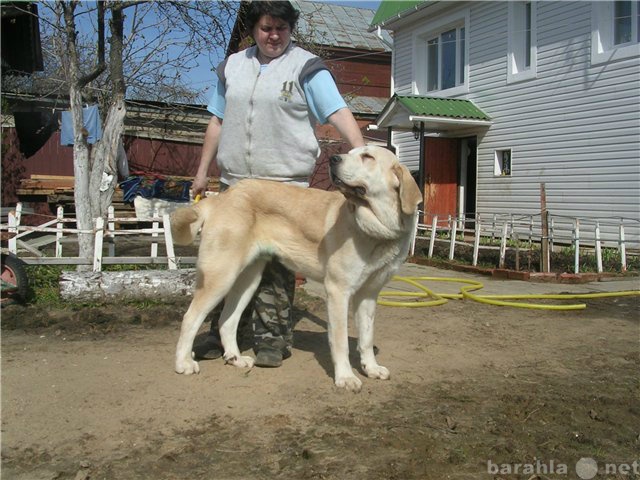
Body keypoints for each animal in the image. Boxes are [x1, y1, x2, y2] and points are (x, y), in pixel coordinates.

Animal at [172, 144, 422, 392]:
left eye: (367, 156)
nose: (333, 159)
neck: (378, 229)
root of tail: (221, 198)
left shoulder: (369, 294)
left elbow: (367, 337)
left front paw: (371, 368)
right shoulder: (338, 291)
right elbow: (340, 340)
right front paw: (345, 377)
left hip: (247, 280)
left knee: (227, 321)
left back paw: (235, 358)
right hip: (221, 275)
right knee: (191, 317)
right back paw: (184, 363)